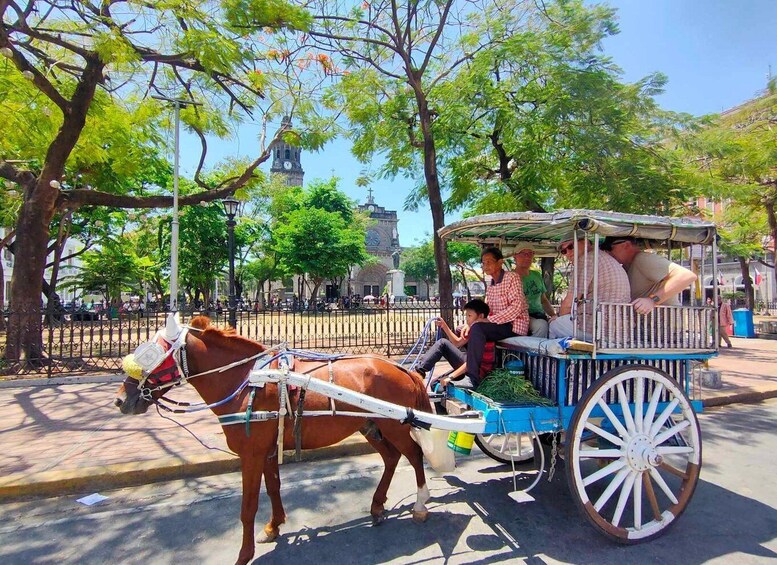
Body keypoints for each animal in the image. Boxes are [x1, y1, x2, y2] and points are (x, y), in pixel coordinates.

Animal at [114, 314, 433, 565]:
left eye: (151, 355)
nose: (120, 400)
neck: (245, 381)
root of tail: (402, 369)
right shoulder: (266, 450)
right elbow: (273, 488)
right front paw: (274, 526)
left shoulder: (251, 454)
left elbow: (248, 507)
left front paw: (244, 555)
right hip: (370, 425)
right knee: (392, 457)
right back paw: (377, 506)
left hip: (395, 426)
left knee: (415, 456)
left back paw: (420, 506)